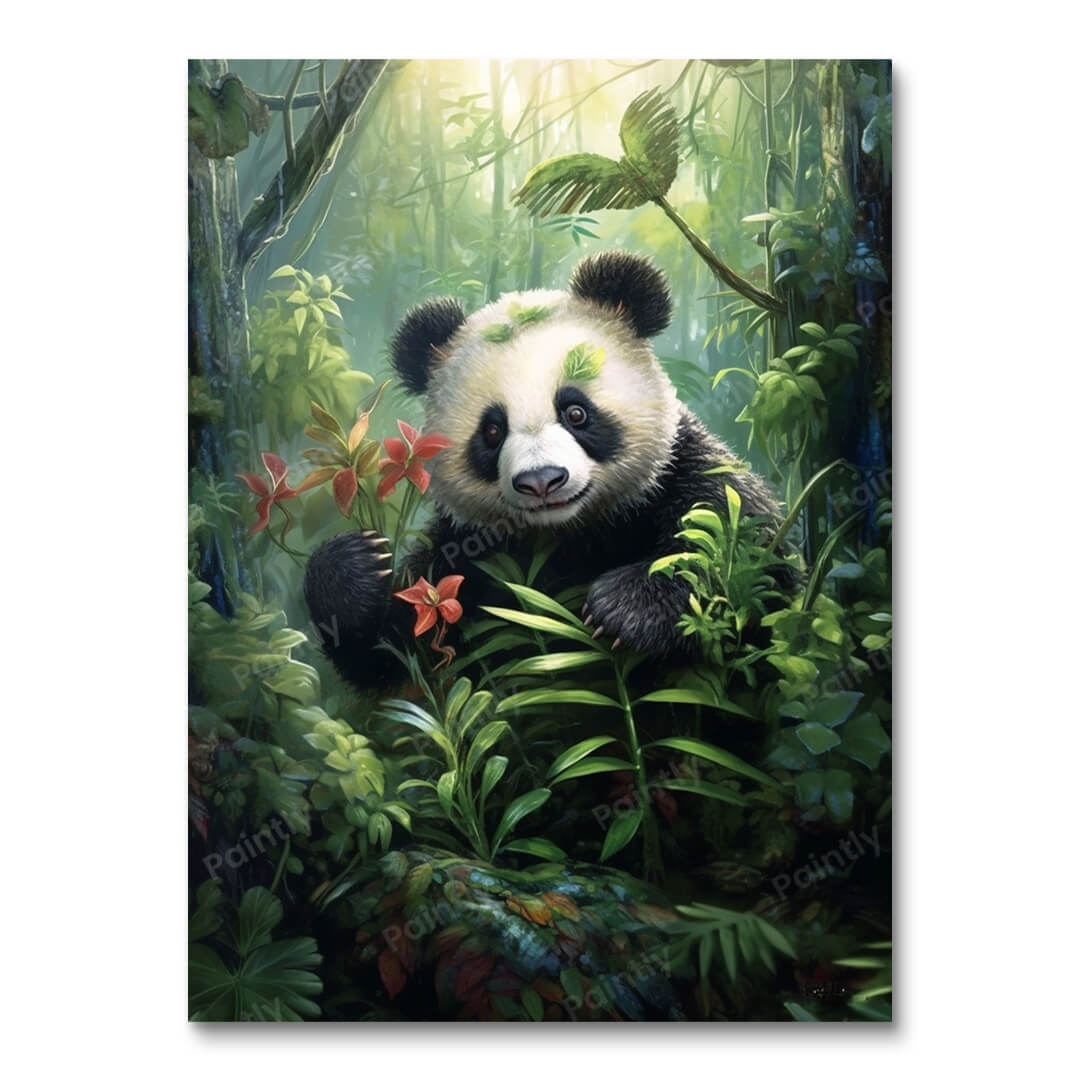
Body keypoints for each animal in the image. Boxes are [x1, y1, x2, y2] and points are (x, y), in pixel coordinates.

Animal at [304, 251, 781, 691]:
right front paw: (357, 564)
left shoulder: (680, 472)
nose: (541, 480)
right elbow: (394, 657)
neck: (569, 534)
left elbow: (745, 556)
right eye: (492, 430)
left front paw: (625, 606)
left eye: (576, 412)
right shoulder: (464, 555)